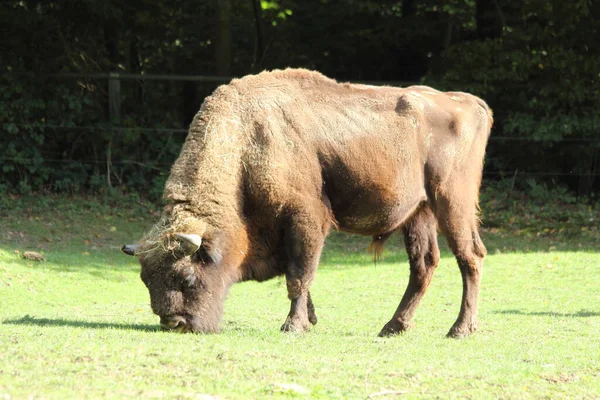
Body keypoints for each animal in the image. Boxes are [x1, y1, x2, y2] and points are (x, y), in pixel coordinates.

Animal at [120, 68, 492, 338]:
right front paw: (310, 319)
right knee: (424, 264)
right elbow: (297, 272)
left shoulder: (306, 218)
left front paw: (293, 325)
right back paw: (393, 327)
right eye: (145, 280)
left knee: (469, 257)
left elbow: (299, 274)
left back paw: (460, 330)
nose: (175, 323)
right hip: (419, 212)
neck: (248, 142)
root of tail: (470, 102)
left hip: (452, 202)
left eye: (186, 277)